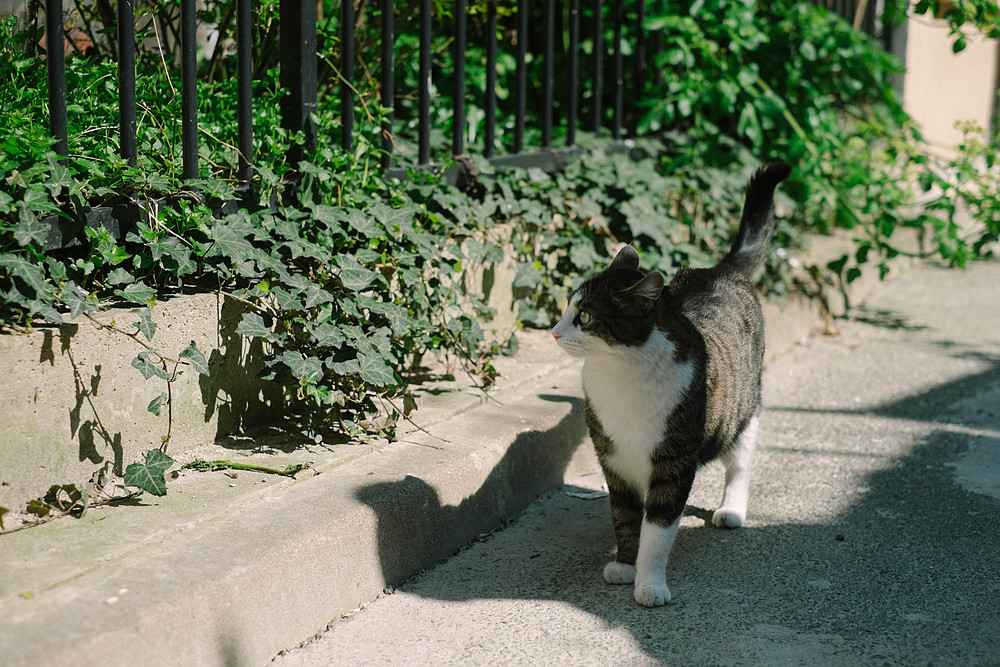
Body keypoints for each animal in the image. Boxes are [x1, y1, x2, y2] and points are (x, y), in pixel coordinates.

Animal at [552, 164, 792, 608]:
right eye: (566, 308)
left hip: (745, 410)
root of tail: (722, 269)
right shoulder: (613, 460)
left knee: (741, 461)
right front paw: (625, 564)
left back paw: (732, 509)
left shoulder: (673, 463)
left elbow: (658, 529)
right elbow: (625, 518)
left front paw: (649, 584)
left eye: (586, 316)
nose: (554, 331)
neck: (619, 374)